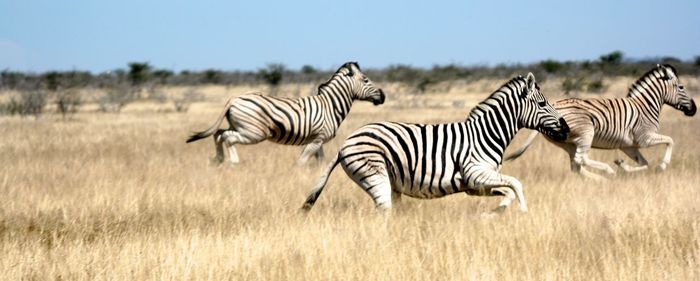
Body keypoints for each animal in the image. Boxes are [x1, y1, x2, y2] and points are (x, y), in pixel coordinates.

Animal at [186, 61, 386, 164]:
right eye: (366, 80)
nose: (383, 96)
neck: (330, 105)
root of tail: (233, 99)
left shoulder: (318, 140)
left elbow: (319, 161)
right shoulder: (317, 139)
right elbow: (301, 162)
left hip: (239, 126)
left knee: (219, 134)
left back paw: (218, 160)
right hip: (253, 132)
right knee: (227, 137)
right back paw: (233, 163)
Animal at [300, 72, 568, 212]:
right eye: (542, 104)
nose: (565, 128)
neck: (486, 133)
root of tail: (346, 143)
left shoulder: (475, 186)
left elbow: (508, 190)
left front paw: (497, 212)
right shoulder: (475, 173)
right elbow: (517, 184)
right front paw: (522, 212)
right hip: (374, 175)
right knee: (383, 214)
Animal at [506, 64, 696, 180]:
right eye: (681, 87)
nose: (694, 109)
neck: (646, 105)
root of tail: (555, 105)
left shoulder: (628, 145)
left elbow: (644, 163)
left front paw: (624, 167)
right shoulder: (645, 137)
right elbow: (670, 141)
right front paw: (661, 167)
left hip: (566, 143)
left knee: (576, 165)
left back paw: (600, 179)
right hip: (586, 133)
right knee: (581, 159)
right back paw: (607, 172)